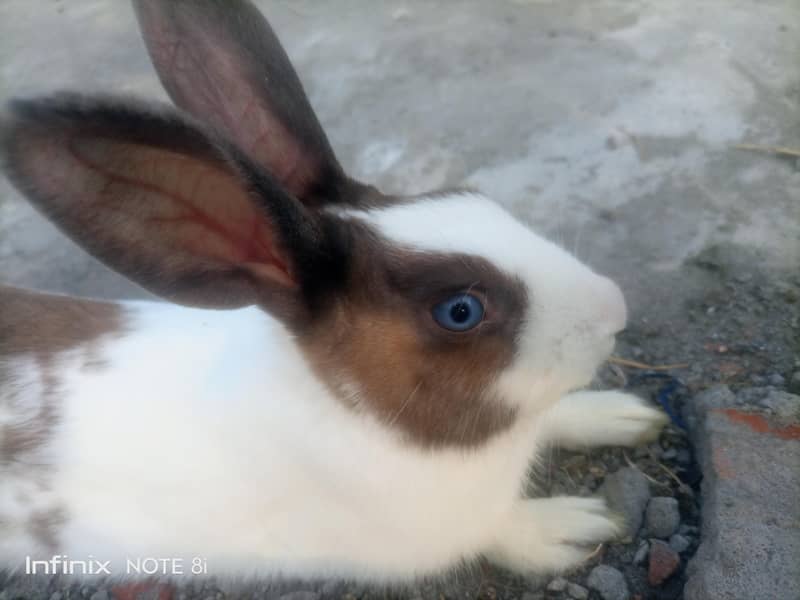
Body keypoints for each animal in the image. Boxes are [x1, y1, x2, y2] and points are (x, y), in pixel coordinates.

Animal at [0, 0, 668, 584]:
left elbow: (558, 412)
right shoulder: (437, 534)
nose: (615, 309)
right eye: (460, 310)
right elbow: (500, 531)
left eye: (473, 196)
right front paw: (576, 526)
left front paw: (625, 414)